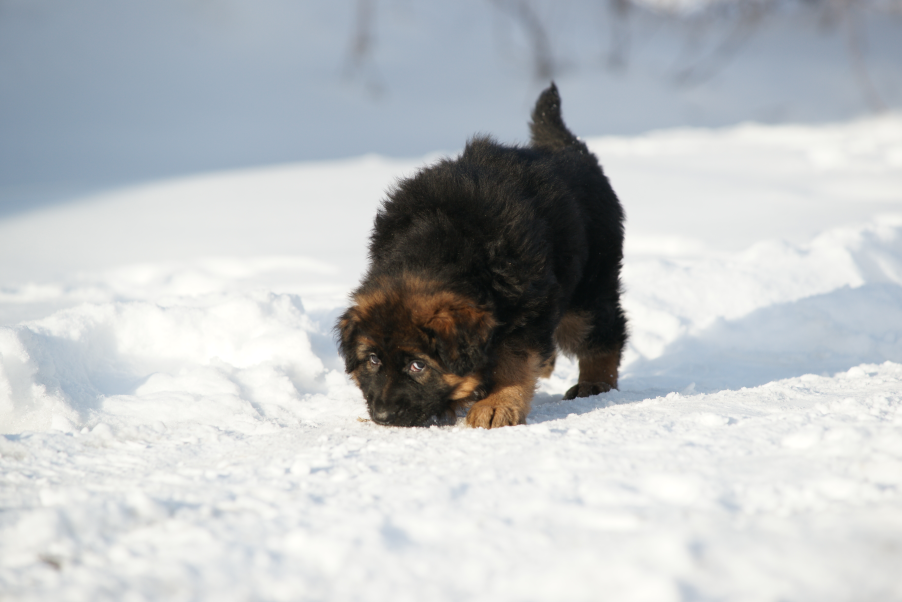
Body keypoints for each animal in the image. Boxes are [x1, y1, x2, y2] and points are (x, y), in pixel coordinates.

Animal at [336, 84, 624, 426]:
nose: (382, 415)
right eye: (373, 360)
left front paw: (497, 404)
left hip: (589, 288)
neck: (445, 249)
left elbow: (512, 360)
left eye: (418, 365)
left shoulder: (528, 308)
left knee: (603, 332)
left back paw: (594, 383)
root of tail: (572, 150)